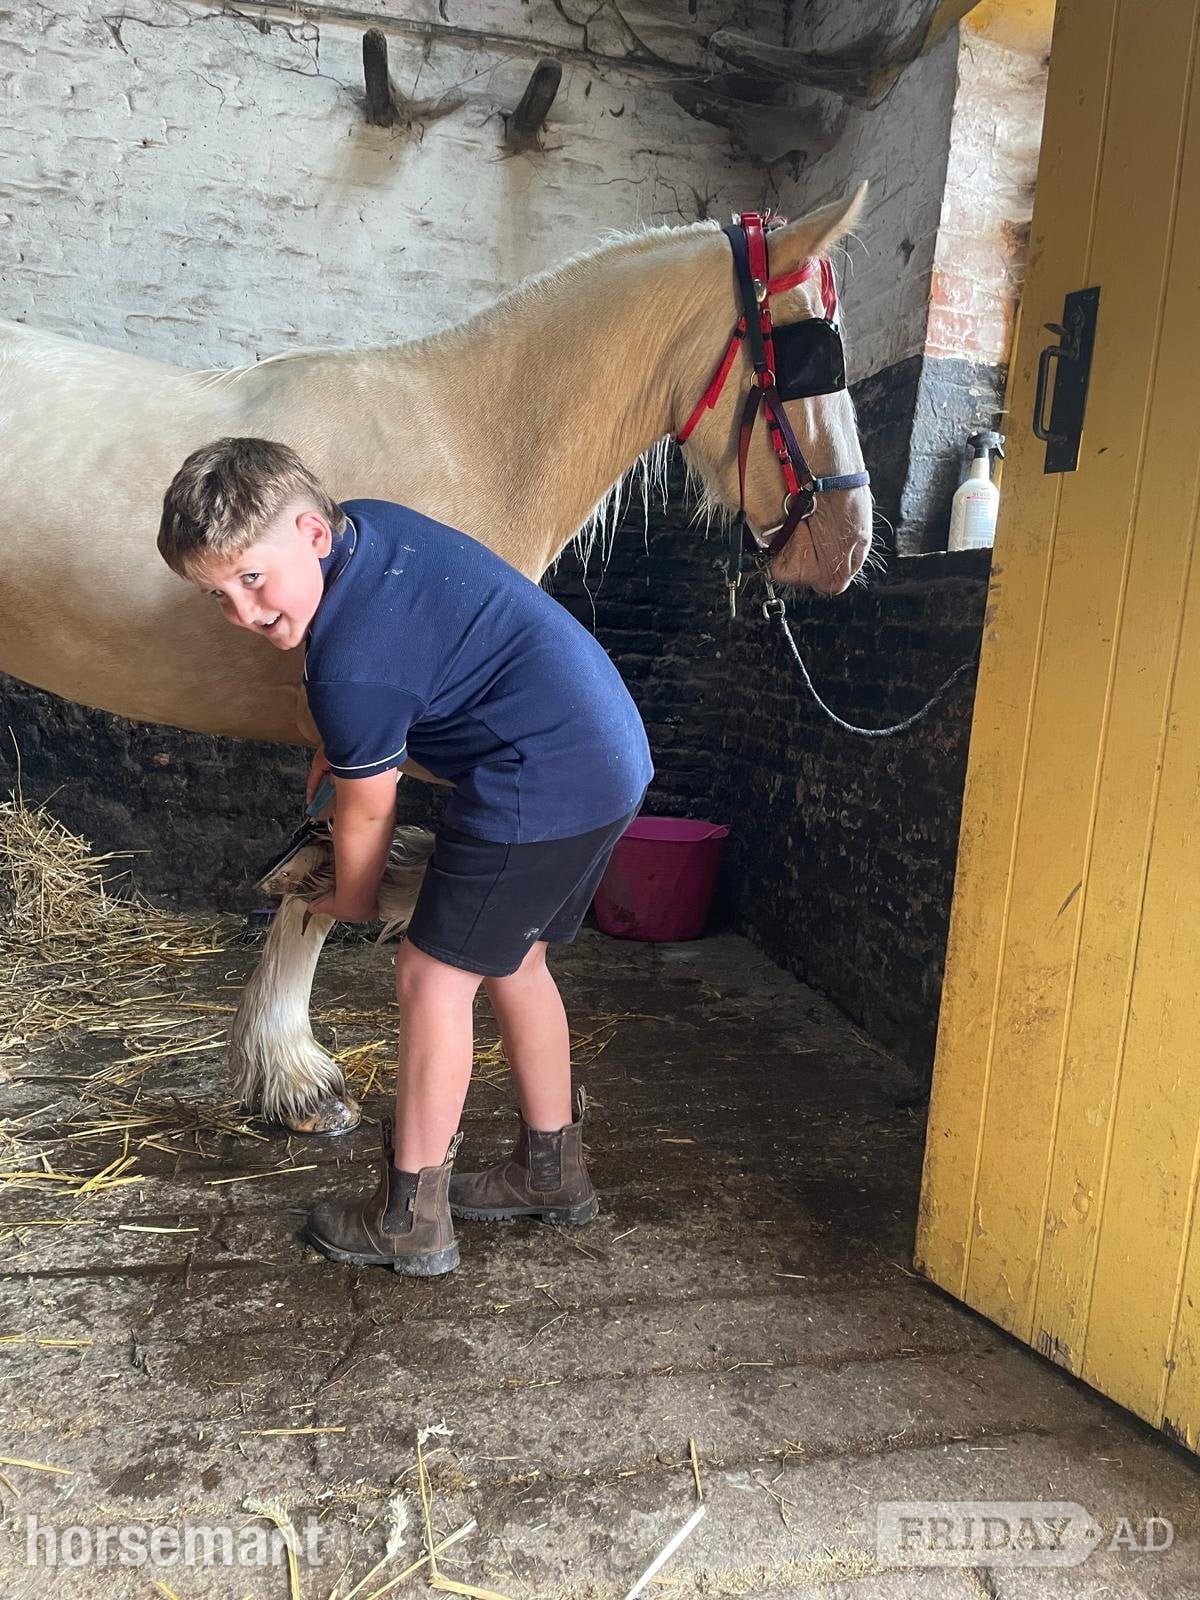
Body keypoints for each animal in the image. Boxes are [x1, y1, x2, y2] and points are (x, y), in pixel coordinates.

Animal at [0, 190, 872, 1132]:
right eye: (810, 351)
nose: (848, 545)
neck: (470, 440)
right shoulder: (381, 729)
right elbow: (350, 874)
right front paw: (298, 1074)